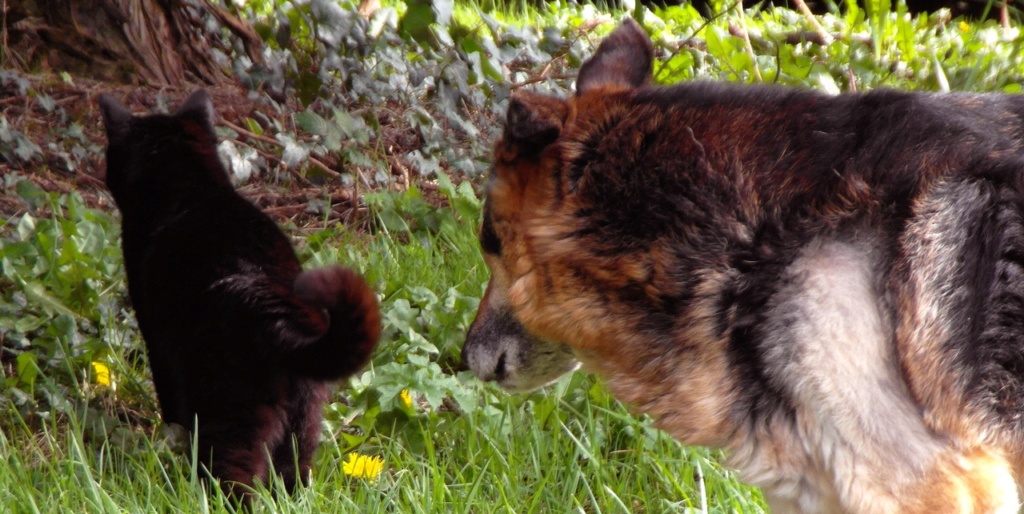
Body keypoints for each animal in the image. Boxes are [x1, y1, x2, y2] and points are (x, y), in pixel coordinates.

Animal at [96, 90, 380, 499]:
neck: (193, 186)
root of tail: (283, 325)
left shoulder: (156, 337)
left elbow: (169, 400)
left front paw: (171, 437)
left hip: (228, 413)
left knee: (234, 479)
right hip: (304, 422)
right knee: (293, 476)